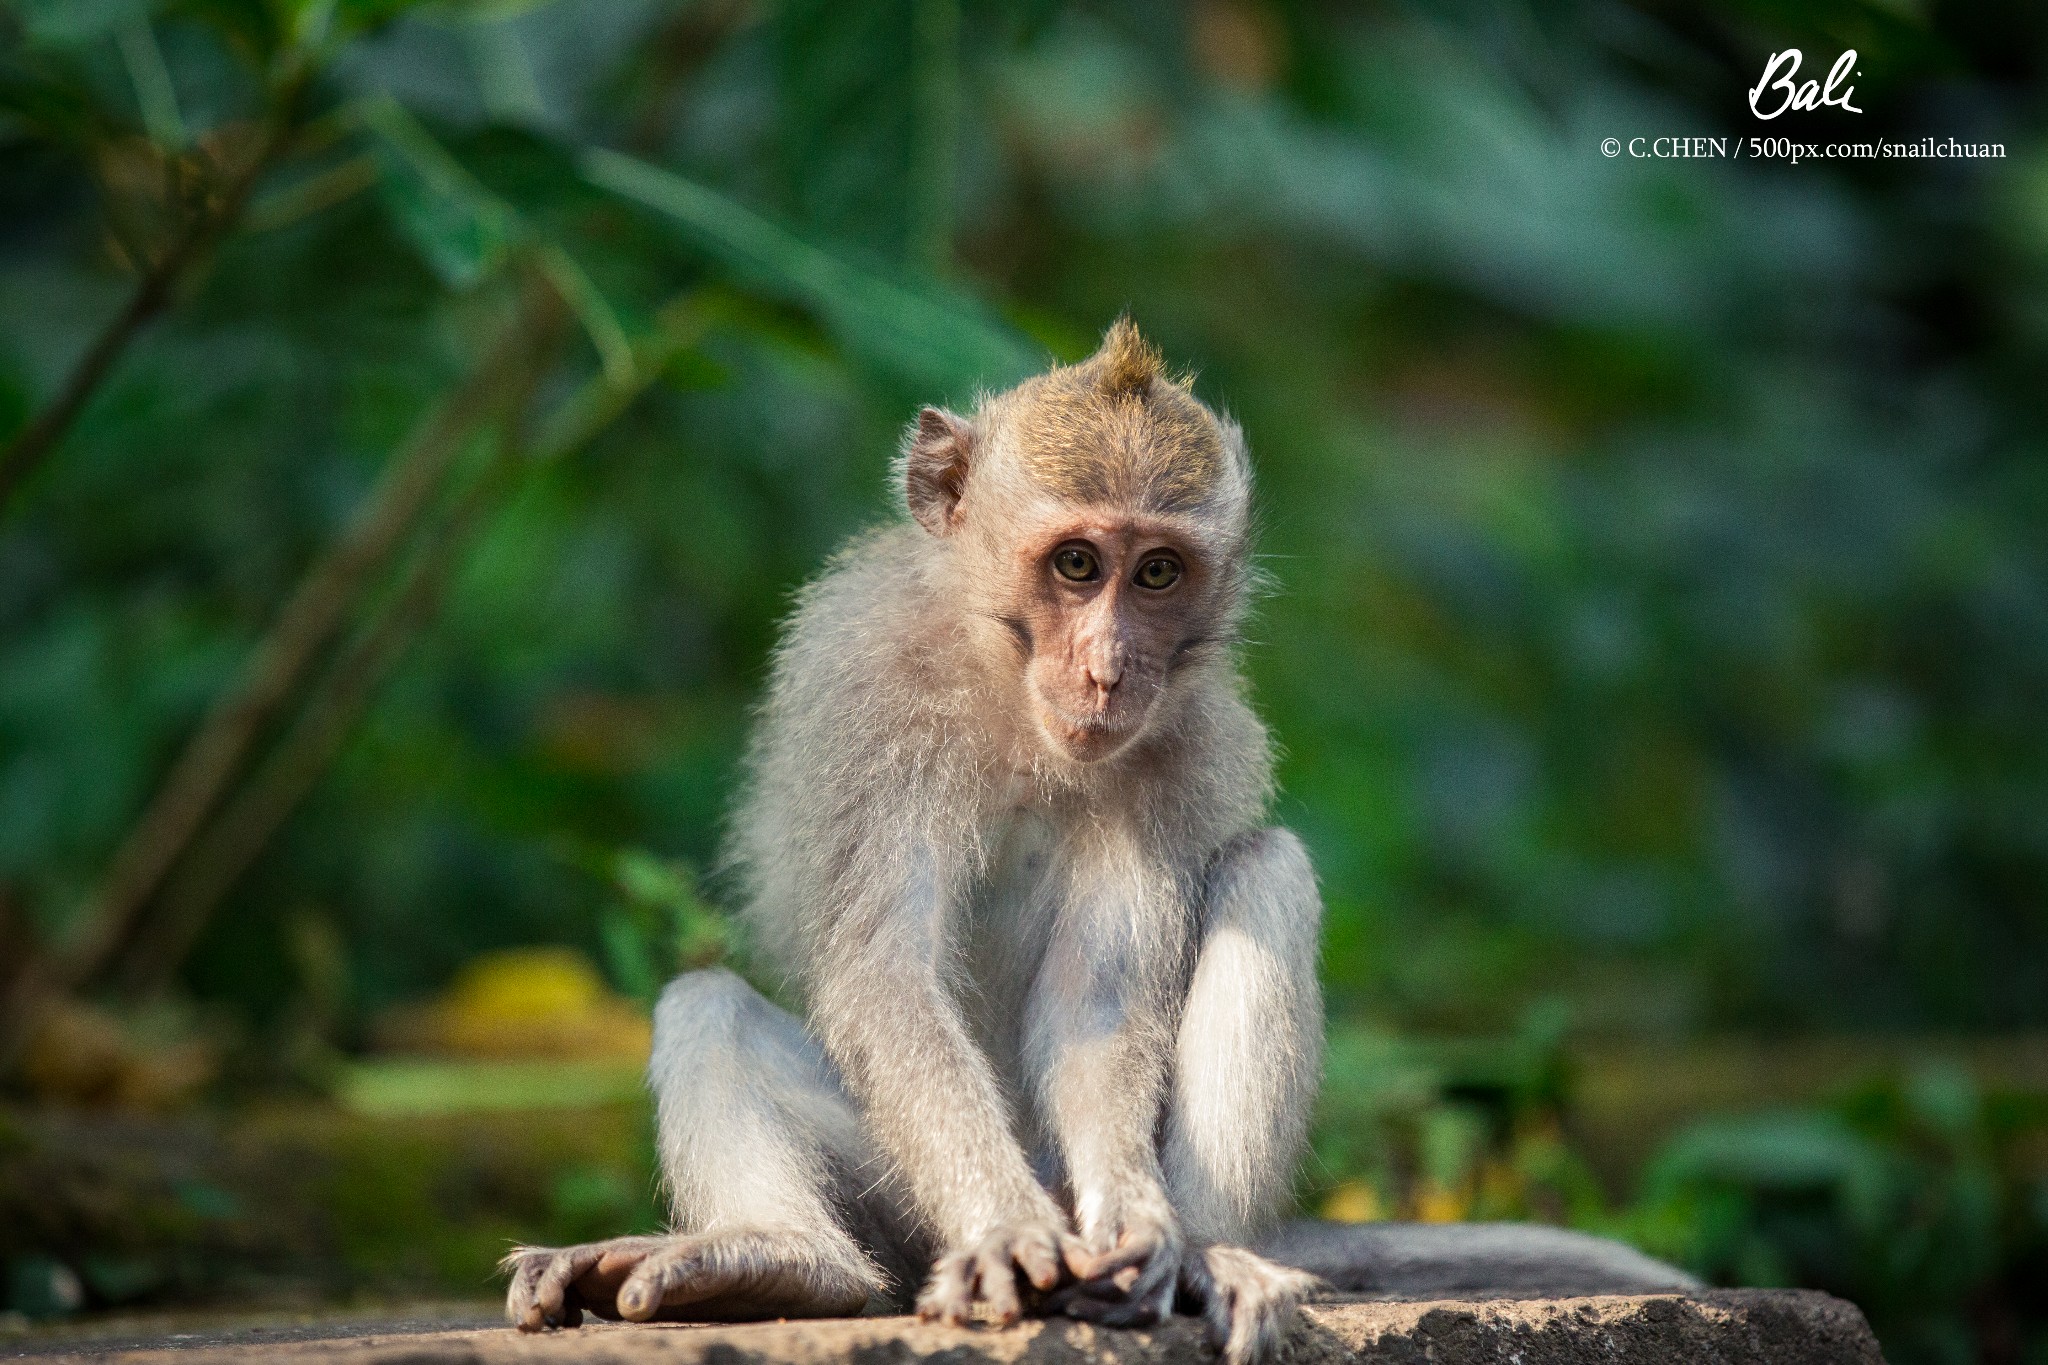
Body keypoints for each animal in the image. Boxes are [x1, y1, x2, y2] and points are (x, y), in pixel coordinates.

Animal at [499, 321, 1695, 1358]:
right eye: (1076, 564)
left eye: (1156, 572)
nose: (1111, 669)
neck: (1009, 695)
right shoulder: (875, 700)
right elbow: (883, 974)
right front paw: (1000, 1227)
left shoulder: (1180, 748)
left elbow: (1102, 994)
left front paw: (1139, 1221)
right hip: (899, 1199)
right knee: (708, 1006)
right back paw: (784, 1263)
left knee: (1269, 871)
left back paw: (1208, 1258)